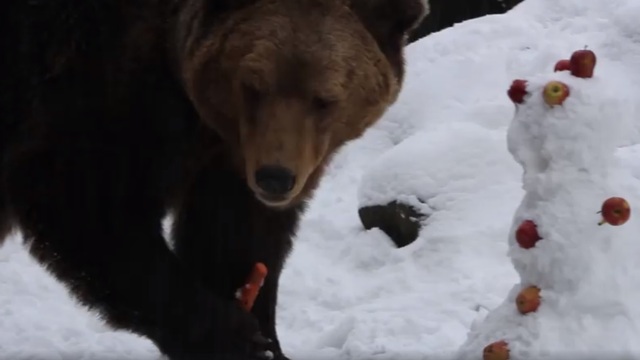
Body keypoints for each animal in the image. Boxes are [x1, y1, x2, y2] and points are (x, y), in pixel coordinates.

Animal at [1, 0, 430, 358]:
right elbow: (94, 216)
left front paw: (263, 336)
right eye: (253, 86)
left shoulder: (229, 160)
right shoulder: (91, 97)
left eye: (324, 99)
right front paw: (235, 337)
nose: (276, 178)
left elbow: (233, 241)